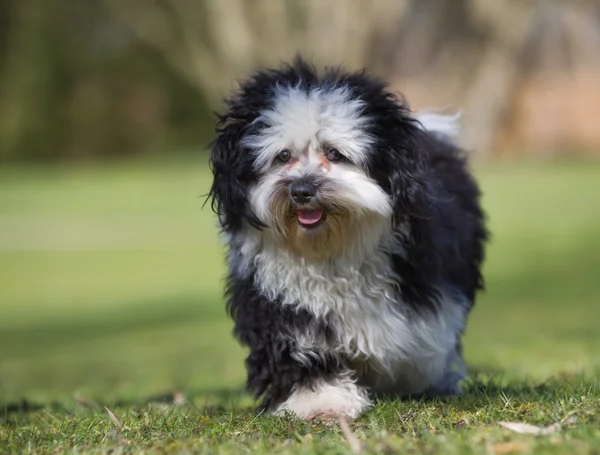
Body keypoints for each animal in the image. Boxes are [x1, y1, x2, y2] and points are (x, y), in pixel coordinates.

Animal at [207, 57, 488, 420]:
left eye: (335, 154)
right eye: (283, 156)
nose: (302, 190)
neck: (331, 249)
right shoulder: (279, 301)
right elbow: (299, 347)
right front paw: (320, 399)